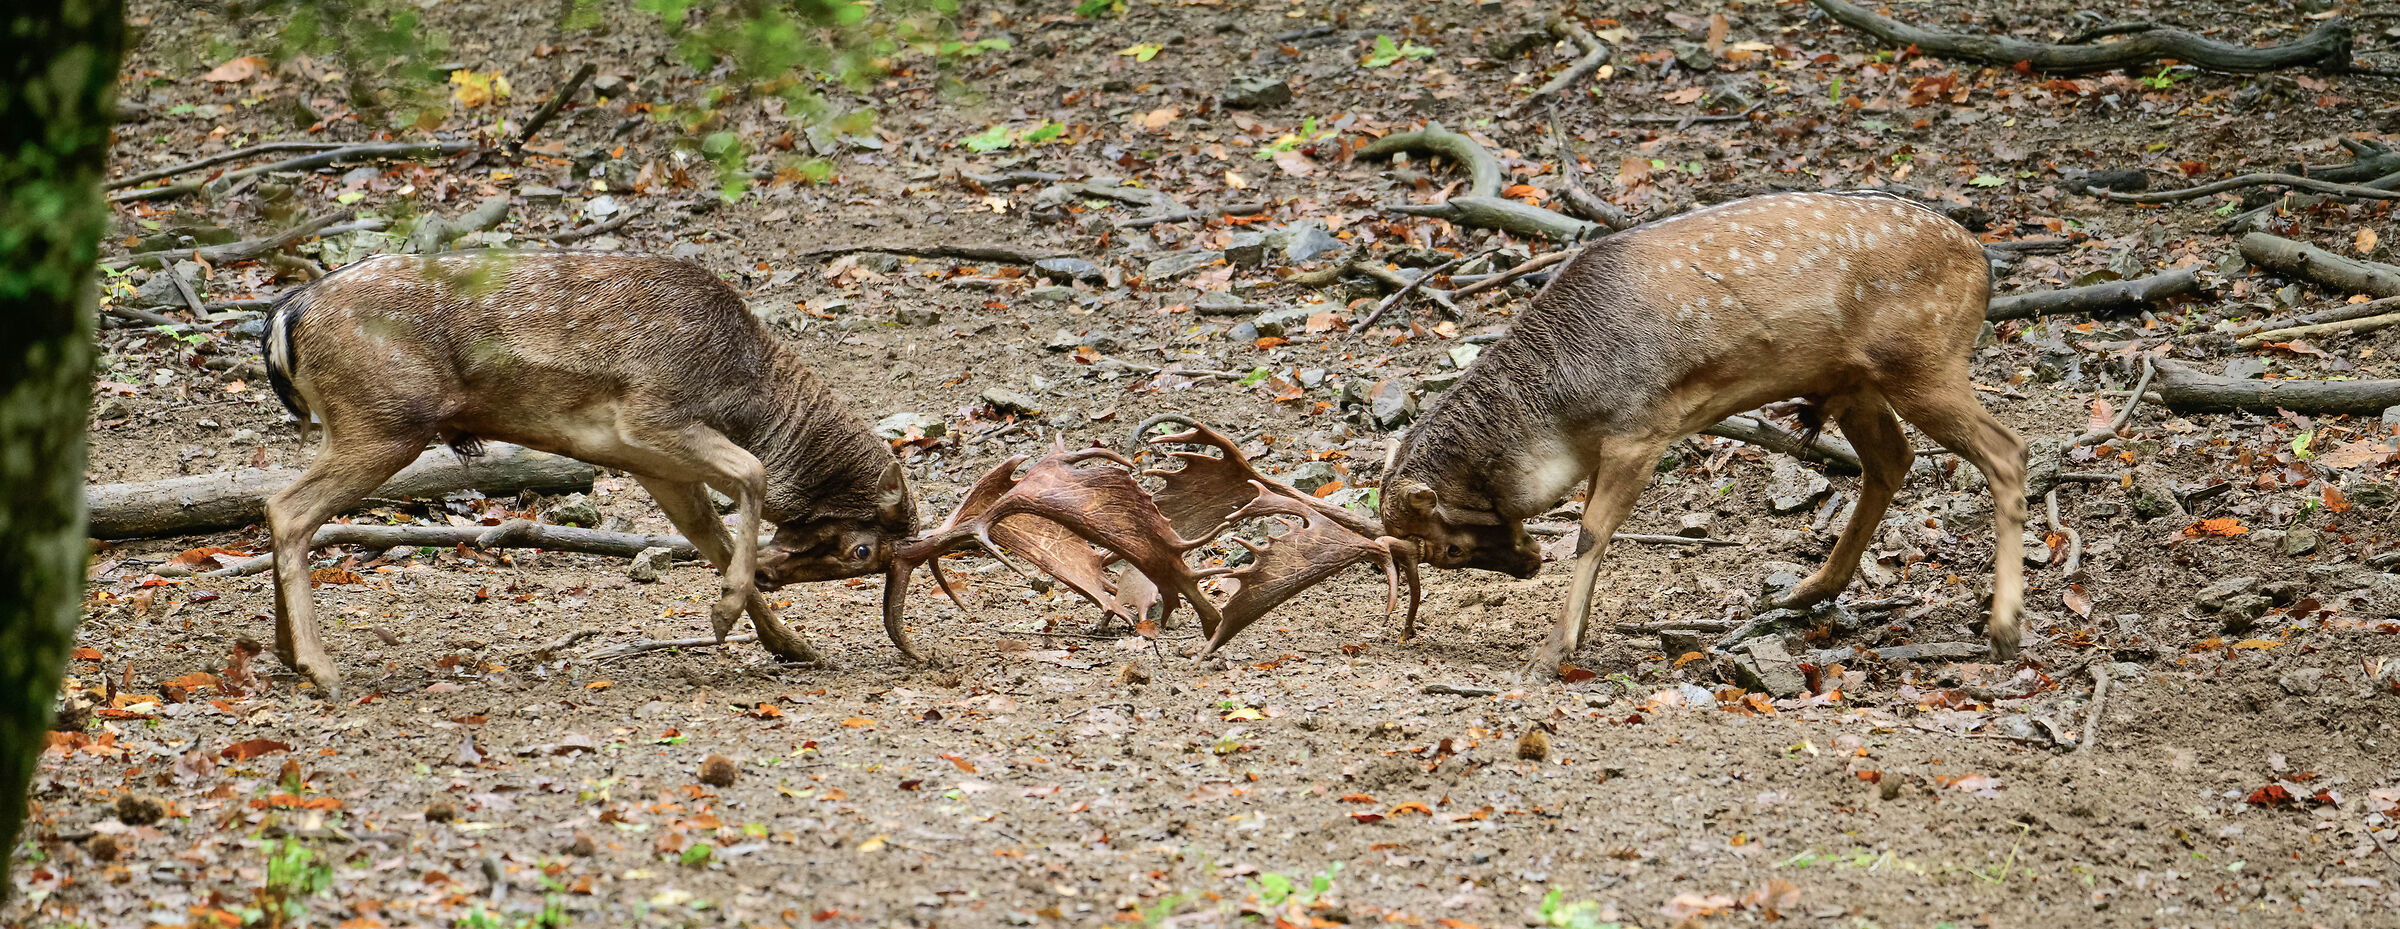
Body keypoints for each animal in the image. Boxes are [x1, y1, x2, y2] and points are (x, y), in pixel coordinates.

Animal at [259, 251, 915, 699]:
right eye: (861, 551)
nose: (778, 576)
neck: (744, 392)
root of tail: (285, 316)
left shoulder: (656, 466)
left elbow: (714, 539)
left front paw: (793, 646)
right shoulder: (649, 415)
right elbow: (752, 474)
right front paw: (724, 612)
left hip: (358, 425)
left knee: (281, 507)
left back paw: (288, 654)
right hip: (385, 421)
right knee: (287, 508)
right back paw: (321, 668)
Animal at [1379, 191, 2027, 679]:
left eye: (1449, 550)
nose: (1530, 563)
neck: (1566, 425)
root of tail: (1984, 264)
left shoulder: (1641, 430)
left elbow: (1591, 532)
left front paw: (1553, 650)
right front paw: (1575, 634)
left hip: (1922, 362)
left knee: (2007, 450)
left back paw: (2003, 629)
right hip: (1855, 380)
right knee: (1893, 457)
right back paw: (1802, 592)